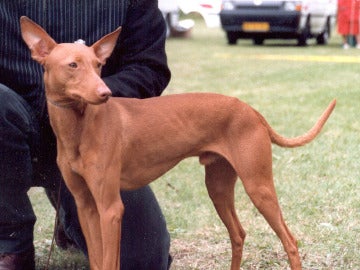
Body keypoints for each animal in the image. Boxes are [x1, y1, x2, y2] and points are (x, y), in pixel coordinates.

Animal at [19, 16, 334, 270]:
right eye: (73, 65)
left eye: (98, 66)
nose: (104, 93)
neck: (79, 129)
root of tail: (250, 109)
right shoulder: (86, 206)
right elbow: (98, 261)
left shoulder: (110, 209)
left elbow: (110, 262)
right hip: (218, 187)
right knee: (238, 234)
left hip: (259, 187)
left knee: (290, 240)